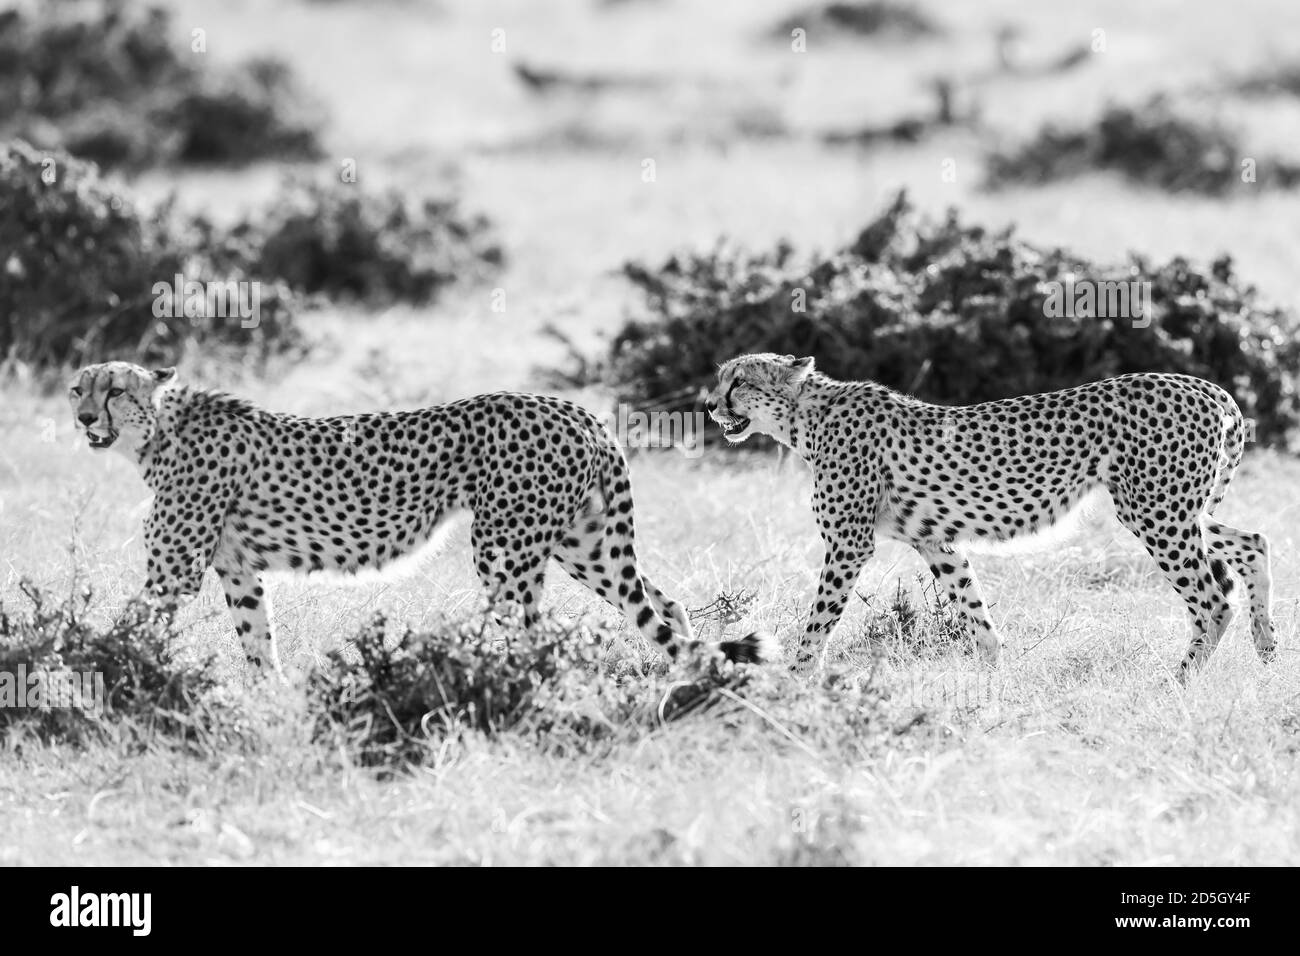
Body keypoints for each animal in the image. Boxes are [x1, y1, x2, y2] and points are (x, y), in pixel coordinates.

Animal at [68, 361, 759, 676]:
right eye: (79, 387)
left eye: (115, 390)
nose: (81, 417)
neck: (159, 431)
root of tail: (579, 410)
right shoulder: (237, 572)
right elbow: (258, 642)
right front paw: (271, 700)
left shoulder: (173, 573)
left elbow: (124, 629)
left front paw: (91, 669)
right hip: (584, 546)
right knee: (664, 607)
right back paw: (686, 683)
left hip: (504, 550)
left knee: (536, 633)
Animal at [707, 353, 1274, 681]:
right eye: (720, 379)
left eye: (738, 381)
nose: (709, 404)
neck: (807, 417)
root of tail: (1206, 386)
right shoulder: (936, 542)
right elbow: (976, 613)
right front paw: (995, 678)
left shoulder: (849, 544)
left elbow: (819, 619)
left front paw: (793, 679)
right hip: (1177, 508)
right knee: (1254, 543)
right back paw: (1269, 653)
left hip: (1156, 511)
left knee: (1212, 599)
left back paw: (1180, 680)